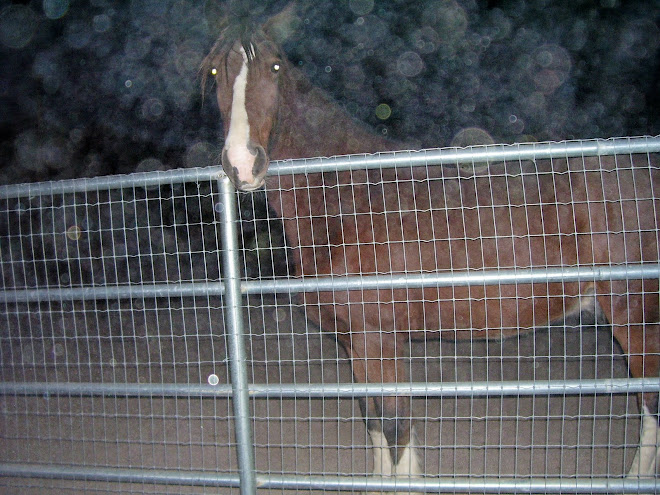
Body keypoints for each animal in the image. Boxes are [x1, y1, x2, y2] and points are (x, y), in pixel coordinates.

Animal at [201, 5, 660, 488]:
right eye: (214, 71)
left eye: (274, 66)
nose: (242, 163)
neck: (349, 197)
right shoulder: (353, 343)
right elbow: (374, 421)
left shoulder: (378, 338)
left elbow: (396, 426)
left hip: (635, 316)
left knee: (650, 405)